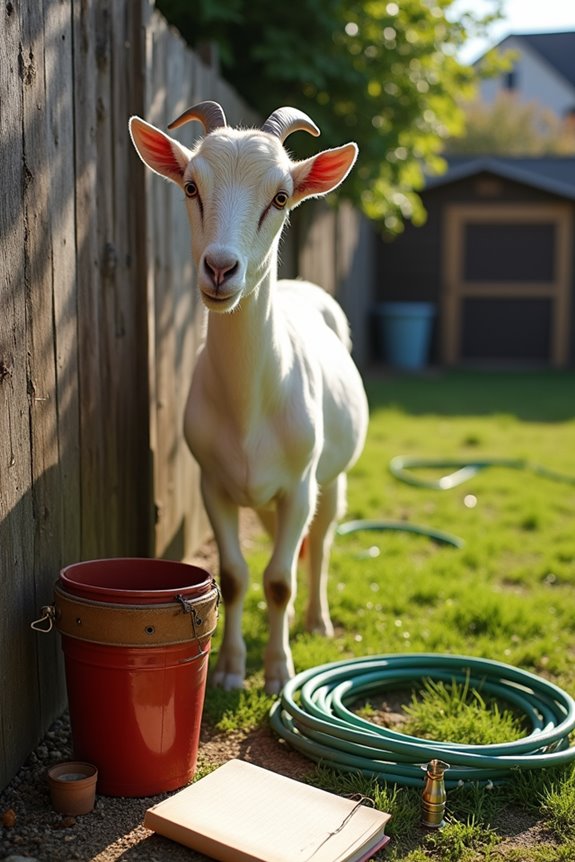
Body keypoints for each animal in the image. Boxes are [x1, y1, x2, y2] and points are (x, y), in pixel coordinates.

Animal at [129, 101, 369, 694]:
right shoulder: (212, 483)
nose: (220, 269)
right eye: (191, 186)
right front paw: (231, 671)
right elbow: (236, 576)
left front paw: (279, 674)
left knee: (322, 541)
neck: (249, 409)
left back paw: (317, 620)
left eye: (281, 197)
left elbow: (280, 579)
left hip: (331, 479)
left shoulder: (300, 486)